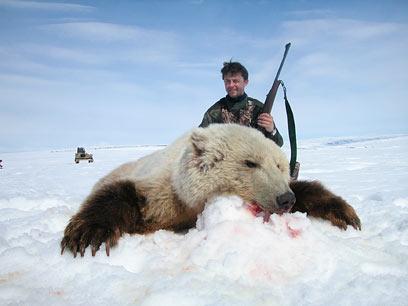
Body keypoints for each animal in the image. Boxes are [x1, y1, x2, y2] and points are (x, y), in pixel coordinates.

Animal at [60, 123, 360, 256]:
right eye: (250, 162)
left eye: (279, 165)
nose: (285, 199)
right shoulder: (163, 190)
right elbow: (123, 194)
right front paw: (88, 234)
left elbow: (307, 188)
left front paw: (345, 213)